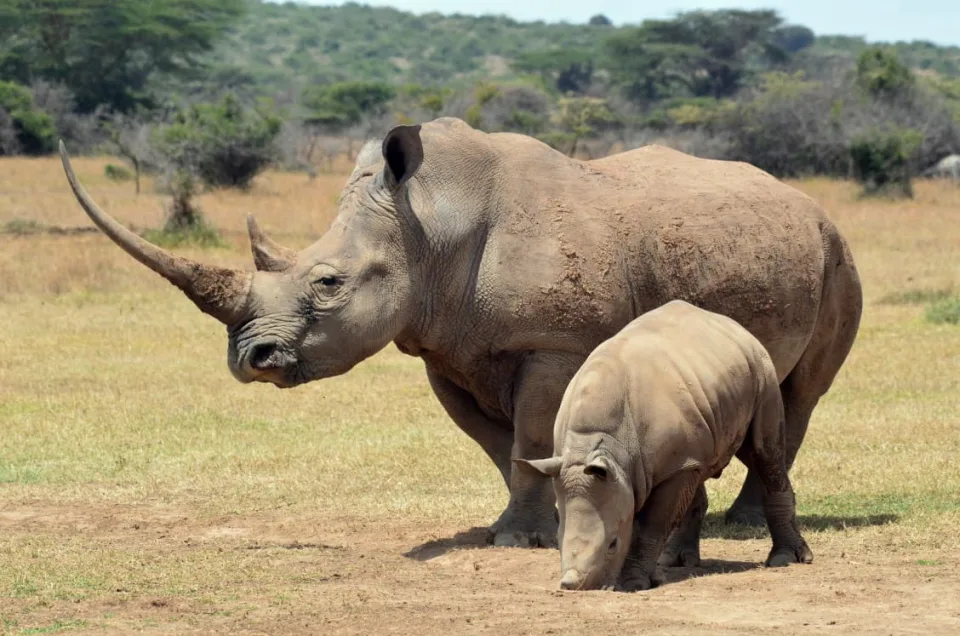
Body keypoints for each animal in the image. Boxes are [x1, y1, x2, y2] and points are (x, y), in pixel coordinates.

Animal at [57, 117, 862, 555]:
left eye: (328, 283)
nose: (249, 359)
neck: (427, 224)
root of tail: (807, 202)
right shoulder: (445, 345)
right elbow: (497, 447)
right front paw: (521, 527)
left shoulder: (554, 341)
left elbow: (531, 432)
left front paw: (521, 539)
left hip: (836, 253)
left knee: (802, 392)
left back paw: (745, 525)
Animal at [515, 300, 814, 591]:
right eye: (557, 538)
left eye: (613, 543)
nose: (572, 585)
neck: (604, 447)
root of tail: (733, 325)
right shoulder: (644, 466)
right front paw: (652, 577)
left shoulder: (666, 468)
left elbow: (652, 525)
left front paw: (633, 584)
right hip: (704, 393)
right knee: (701, 468)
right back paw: (676, 562)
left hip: (762, 369)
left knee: (765, 453)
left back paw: (785, 559)